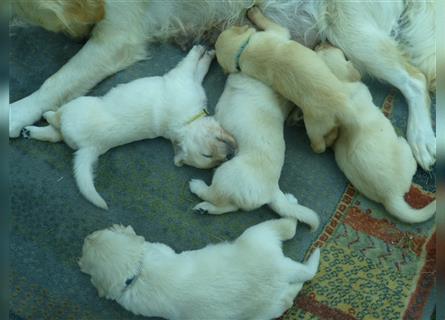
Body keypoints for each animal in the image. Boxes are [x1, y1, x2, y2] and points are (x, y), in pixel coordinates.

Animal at [21, 45, 236, 210]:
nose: (230, 156)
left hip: (75, 112)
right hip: (76, 118)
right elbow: (195, 68)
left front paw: (202, 51)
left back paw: (38, 122)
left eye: (213, 161)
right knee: (55, 129)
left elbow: (192, 66)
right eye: (208, 155)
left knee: (56, 126)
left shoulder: (183, 81)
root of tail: (89, 148)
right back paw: (33, 127)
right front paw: (206, 53)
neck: (185, 121)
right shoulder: (183, 82)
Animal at [79, 220, 320, 320]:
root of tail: (281, 270)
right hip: (265, 306)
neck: (136, 273)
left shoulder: (159, 250)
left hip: (256, 237)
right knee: (289, 294)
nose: (86, 236)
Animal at [187, 73, 320, 230]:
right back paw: (205, 209)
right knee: (230, 206)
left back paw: (197, 186)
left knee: (215, 195)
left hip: (227, 173)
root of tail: (273, 190)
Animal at [215, 6, 350, 154]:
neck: (242, 52)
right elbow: (266, 22)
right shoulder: (276, 31)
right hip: (315, 127)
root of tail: (342, 108)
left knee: (333, 133)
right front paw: (253, 12)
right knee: (320, 145)